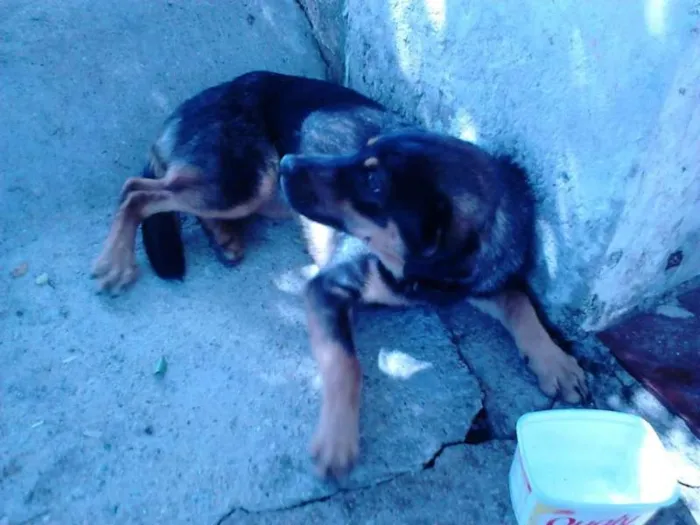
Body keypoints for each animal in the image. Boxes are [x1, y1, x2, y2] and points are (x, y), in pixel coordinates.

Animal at [91, 69, 584, 478]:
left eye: (374, 184)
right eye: (363, 153)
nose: (290, 161)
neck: (426, 275)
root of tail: (196, 102)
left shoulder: (484, 279)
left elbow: (520, 301)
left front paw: (555, 361)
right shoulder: (327, 286)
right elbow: (346, 363)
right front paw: (338, 438)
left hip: (257, 190)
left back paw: (224, 238)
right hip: (246, 179)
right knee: (137, 191)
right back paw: (117, 260)